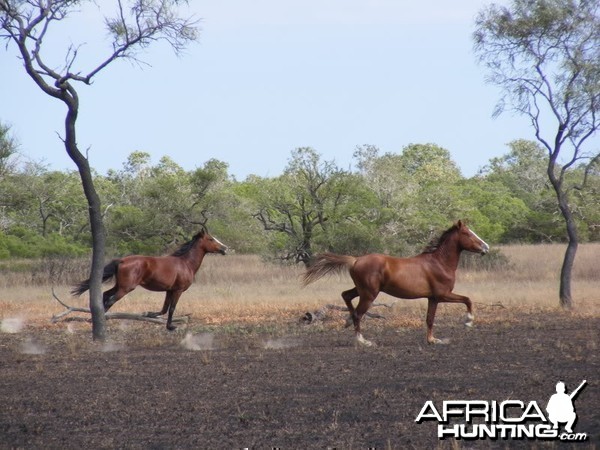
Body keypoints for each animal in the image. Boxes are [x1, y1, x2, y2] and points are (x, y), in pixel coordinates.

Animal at [72, 229, 227, 330]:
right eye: (211, 239)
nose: (225, 248)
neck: (185, 263)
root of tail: (122, 260)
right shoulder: (178, 290)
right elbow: (171, 308)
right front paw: (171, 326)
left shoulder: (169, 291)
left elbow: (164, 309)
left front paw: (150, 314)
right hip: (125, 288)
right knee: (110, 300)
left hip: (120, 286)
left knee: (105, 295)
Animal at [302, 220, 490, 346]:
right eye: (468, 234)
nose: (486, 247)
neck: (439, 262)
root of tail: (355, 260)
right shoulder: (443, 295)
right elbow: (467, 300)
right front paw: (468, 321)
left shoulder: (433, 298)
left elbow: (430, 319)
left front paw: (432, 340)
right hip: (369, 294)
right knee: (358, 313)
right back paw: (362, 341)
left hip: (362, 290)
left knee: (346, 296)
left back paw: (348, 322)